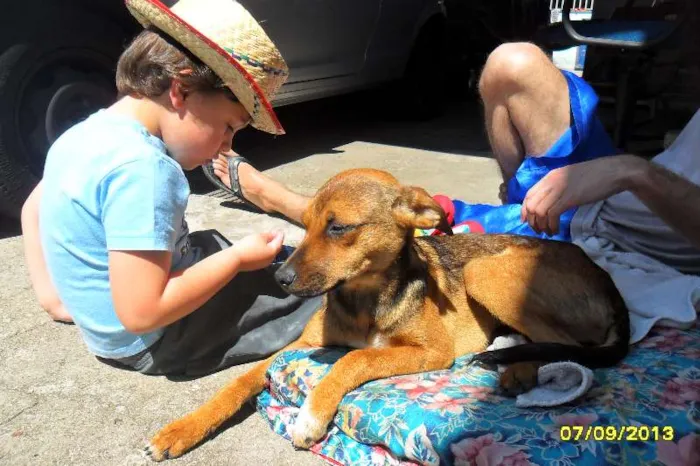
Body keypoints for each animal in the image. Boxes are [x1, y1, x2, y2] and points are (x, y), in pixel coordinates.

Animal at [145, 169, 632, 460]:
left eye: (338, 227)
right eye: (305, 223)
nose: (280, 278)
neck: (364, 299)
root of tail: (602, 274)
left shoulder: (431, 351)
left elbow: (353, 358)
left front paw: (310, 416)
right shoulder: (302, 345)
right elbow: (239, 382)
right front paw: (180, 431)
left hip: (484, 269)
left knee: (571, 345)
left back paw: (522, 367)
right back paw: (511, 361)